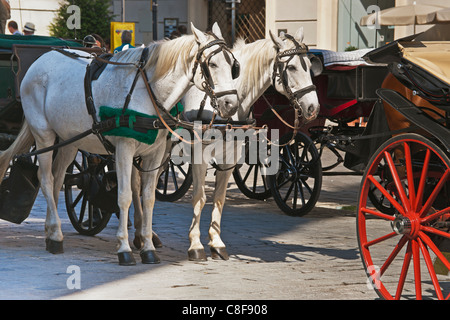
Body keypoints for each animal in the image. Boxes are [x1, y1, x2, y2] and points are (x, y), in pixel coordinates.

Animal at [0, 23, 239, 264]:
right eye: (212, 64)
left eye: (233, 65)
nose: (232, 104)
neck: (147, 91)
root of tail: (39, 61)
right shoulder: (125, 148)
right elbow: (124, 196)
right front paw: (124, 248)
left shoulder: (155, 152)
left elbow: (148, 198)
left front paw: (148, 247)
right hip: (44, 135)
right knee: (45, 179)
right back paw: (56, 235)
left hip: (68, 140)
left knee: (58, 179)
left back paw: (51, 230)